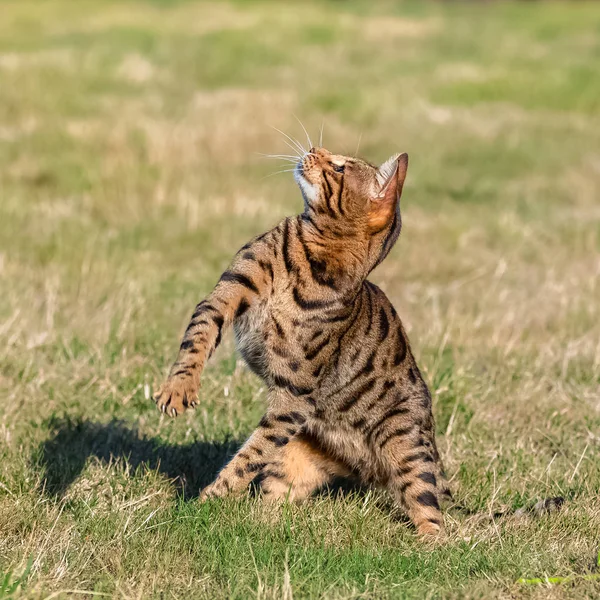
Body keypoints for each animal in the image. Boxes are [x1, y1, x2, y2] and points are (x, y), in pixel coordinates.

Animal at [155, 148, 450, 536]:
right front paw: (179, 389)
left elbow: (250, 454)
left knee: (434, 514)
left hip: (406, 446)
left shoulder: (294, 396)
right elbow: (197, 341)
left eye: (339, 167)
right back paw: (259, 526)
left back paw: (427, 545)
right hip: (295, 456)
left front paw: (209, 500)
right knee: (275, 498)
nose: (312, 150)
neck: (313, 260)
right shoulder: (223, 298)